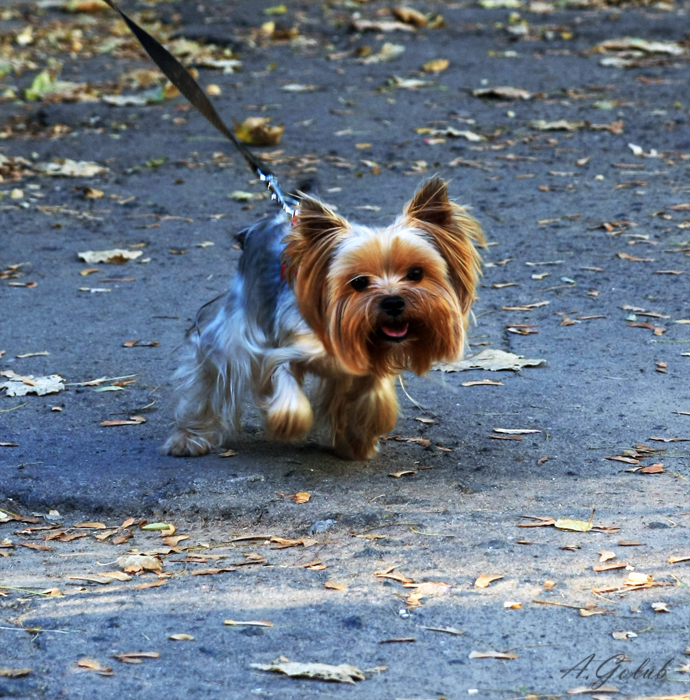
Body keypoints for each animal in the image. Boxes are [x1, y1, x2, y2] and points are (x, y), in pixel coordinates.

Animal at [163, 176, 482, 460]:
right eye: (358, 282)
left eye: (416, 273)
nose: (393, 302)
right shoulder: (283, 346)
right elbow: (284, 383)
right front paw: (288, 423)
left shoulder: (365, 363)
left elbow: (371, 401)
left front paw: (357, 441)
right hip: (235, 326)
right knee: (209, 369)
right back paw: (189, 439)